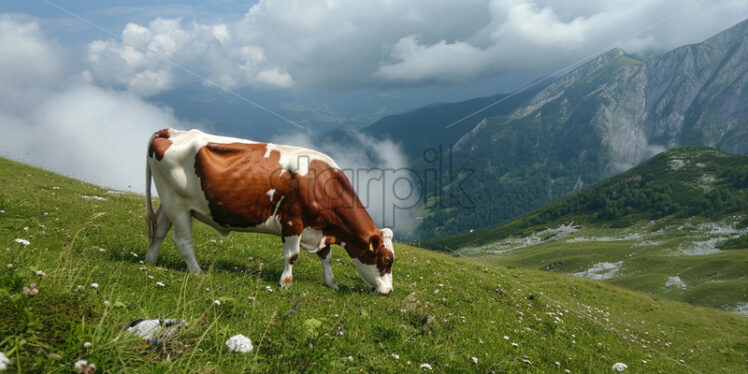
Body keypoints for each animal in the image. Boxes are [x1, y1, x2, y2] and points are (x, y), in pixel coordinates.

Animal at [143, 129, 394, 296]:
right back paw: (197, 272)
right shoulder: (293, 221)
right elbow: (292, 255)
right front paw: (285, 283)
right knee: (182, 240)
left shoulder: (319, 229)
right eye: (387, 260)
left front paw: (331, 283)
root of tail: (170, 132)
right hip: (177, 204)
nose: (389, 290)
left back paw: (150, 261)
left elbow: (326, 256)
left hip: (168, 201)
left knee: (160, 230)